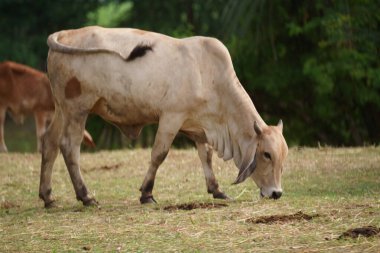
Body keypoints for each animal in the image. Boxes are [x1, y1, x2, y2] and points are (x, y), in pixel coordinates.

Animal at [39, 25, 288, 208]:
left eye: (283, 157)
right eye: (266, 154)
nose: (276, 193)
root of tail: (66, 33)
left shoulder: (198, 126)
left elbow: (206, 155)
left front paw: (216, 190)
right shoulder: (171, 117)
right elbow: (159, 154)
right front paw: (146, 194)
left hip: (62, 109)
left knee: (50, 142)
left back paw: (48, 196)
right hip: (77, 110)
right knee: (69, 147)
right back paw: (86, 196)